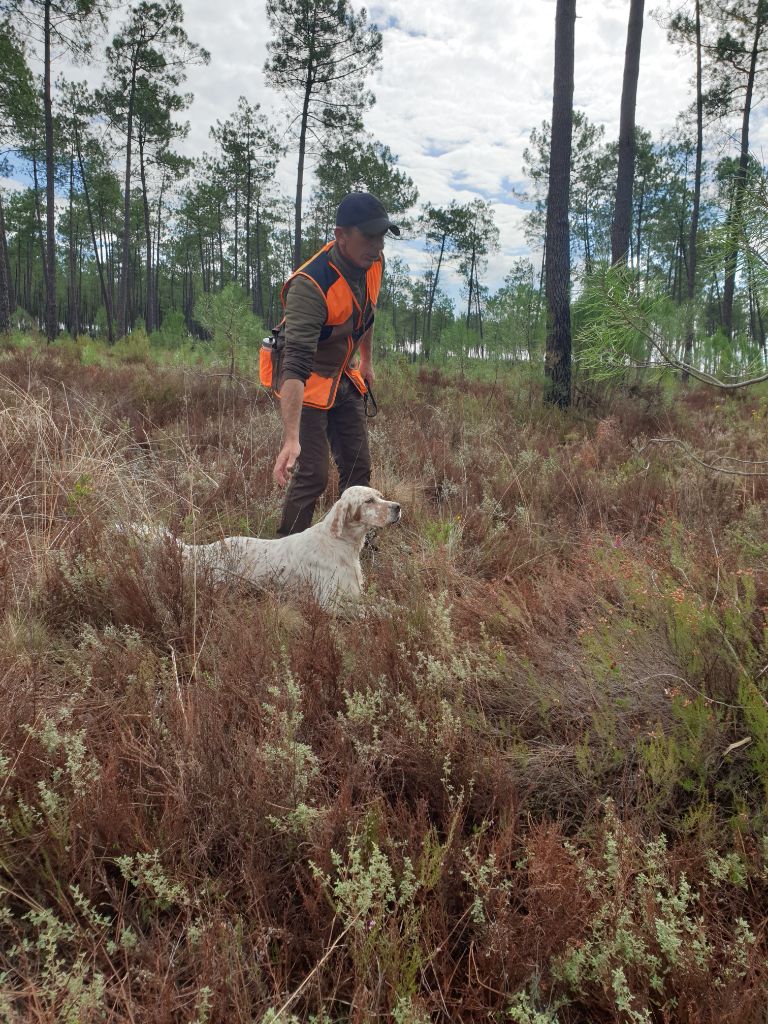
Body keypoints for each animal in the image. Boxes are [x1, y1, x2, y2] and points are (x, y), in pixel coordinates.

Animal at [177, 485, 399, 606]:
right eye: (369, 500)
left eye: (380, 496)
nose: (398, 507)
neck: (339, 543)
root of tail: (207, 549)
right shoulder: (329, 603)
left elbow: (386, 604)